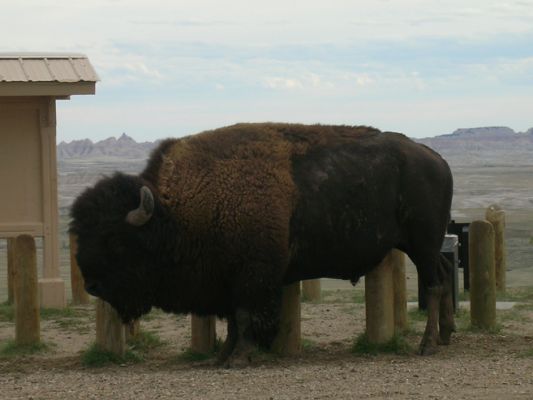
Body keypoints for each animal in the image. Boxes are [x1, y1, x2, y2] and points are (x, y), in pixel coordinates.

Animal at [70, 123, 454, 364]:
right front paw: (223, 356)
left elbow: (244, 316)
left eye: (114, 239)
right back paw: (447, 335)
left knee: (434, 284)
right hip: (426, 246)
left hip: (422, 244)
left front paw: (239, 358)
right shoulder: (227, 279)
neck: (174, 212)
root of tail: (437, 159)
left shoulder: (251, 277)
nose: (92, 285)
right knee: (446, 274)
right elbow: (232, 321)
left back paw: (428, 345)